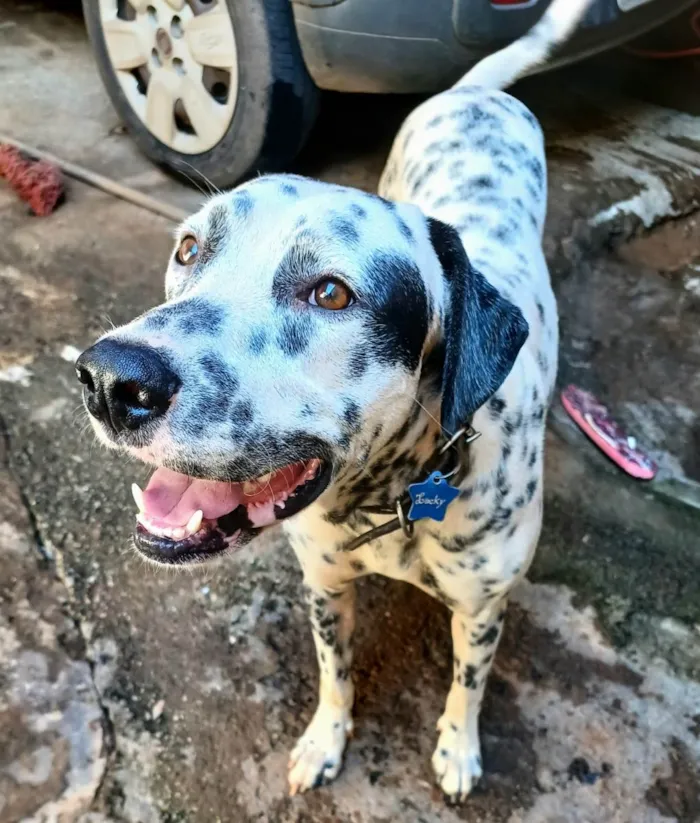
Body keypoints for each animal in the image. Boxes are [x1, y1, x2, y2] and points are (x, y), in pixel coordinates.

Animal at [75, 0, 592, 804]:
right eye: (189, 249)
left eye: (331, 293)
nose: (107, 379)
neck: (390, 494)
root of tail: (474, 91)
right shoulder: (323, 584)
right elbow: (334, 673)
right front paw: (325, 740)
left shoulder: (482, 610)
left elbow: (467, 685)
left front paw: (458, 748)